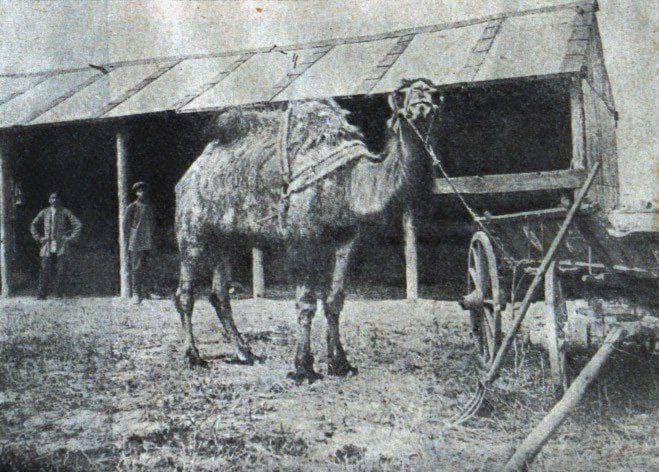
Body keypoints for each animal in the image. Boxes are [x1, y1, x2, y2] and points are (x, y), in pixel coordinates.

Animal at [174, 79, 442, 382]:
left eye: (436, 93)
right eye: (401, 93)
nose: (422, 98)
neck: (348, 183)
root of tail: (188, 175)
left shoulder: (345, 239)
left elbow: (334, 301)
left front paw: (341, 364)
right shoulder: (303, 238)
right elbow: (306, 303)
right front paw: (303, 368)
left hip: (226, 239)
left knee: (219, 293)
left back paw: (245, 353)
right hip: (193, 231)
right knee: (185, 293)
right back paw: (193, 356)